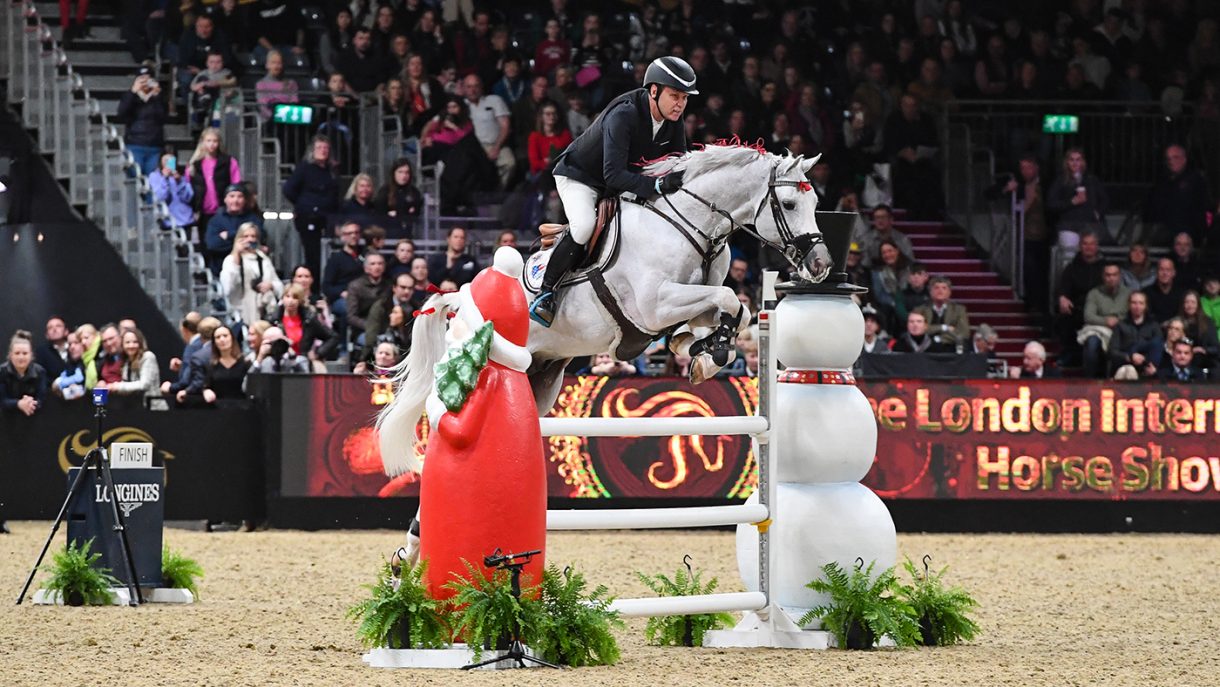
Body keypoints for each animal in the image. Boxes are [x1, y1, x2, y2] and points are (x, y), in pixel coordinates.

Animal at [376, 144, 831, 566]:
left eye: (814, 204)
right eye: (790, 204)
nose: (821, 264)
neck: (691, 226)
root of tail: (458, 299)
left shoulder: (682, 305)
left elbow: (733, 309)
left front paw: (699, 351)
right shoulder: (655, 305)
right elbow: (729, 298)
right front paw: (711, 350)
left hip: (541, 381)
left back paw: (410, 553)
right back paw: (413, 551)